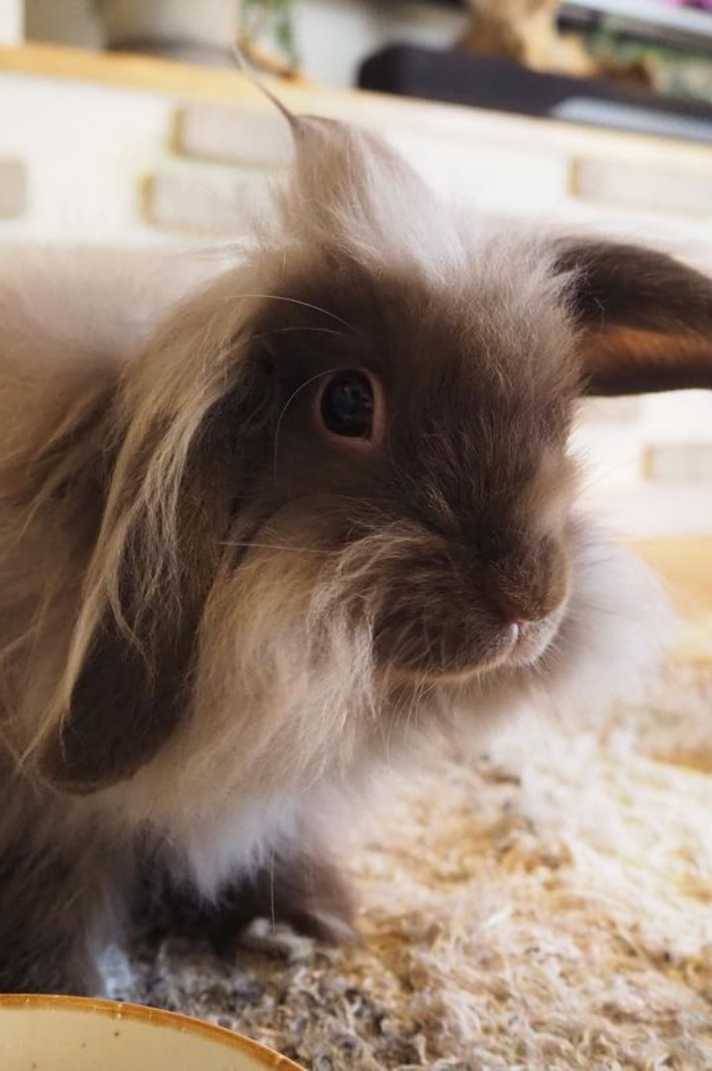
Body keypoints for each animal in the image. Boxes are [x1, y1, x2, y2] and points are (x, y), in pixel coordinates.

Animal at [1, 102, 710, 993]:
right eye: (346, 403)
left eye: (561, 420)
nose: (534, 602)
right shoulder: (48, 820)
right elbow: (54, 892)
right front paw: (54, 984)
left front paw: (312, 920)